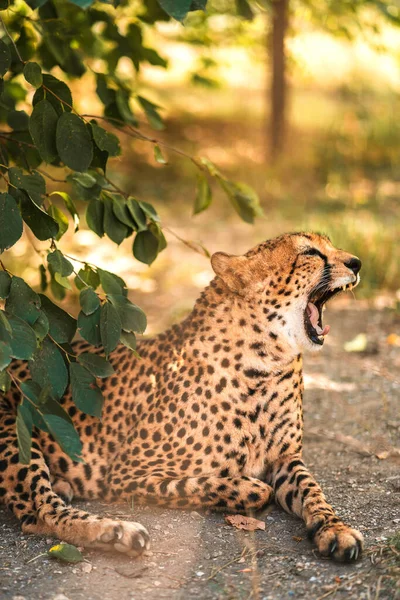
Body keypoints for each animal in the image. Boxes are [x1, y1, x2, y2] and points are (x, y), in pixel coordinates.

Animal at [0, 232, 362, 560]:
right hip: (13, 429)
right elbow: (225, 485)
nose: (357, 263)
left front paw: (335, 529)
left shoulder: (286, 458)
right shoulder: (125, 474)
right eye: (310, 252)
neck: (268, 360)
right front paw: (250, 487)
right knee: (39, 511)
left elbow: (313, 491)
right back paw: (117, 532)